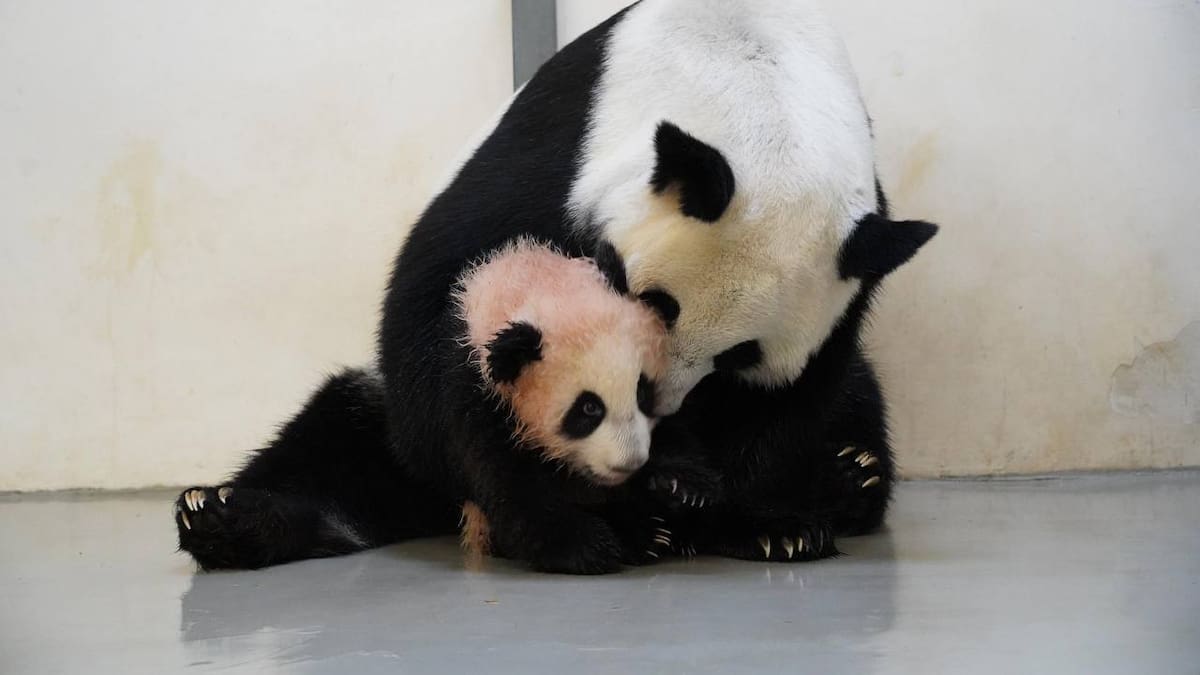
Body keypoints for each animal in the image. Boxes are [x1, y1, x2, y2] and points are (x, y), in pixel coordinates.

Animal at [177, 240, 712, 572]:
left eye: (644, 392)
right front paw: (583, 545)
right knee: (322, 463)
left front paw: (677, 487)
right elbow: (510, 485)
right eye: (586, 410)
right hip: (374, 432)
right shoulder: (468, 393)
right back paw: (218, 516)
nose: (629, 463)